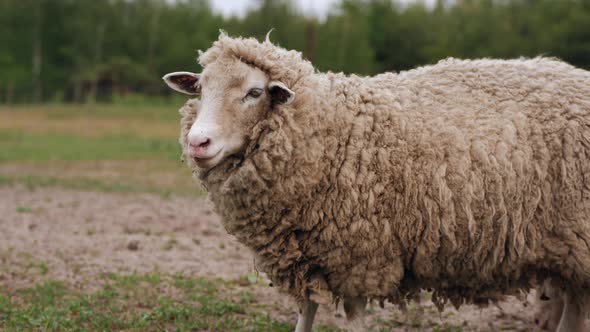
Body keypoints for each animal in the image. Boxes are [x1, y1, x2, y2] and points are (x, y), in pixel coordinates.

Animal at [164, 32, 590, 330]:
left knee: (574, 316)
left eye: (254, 92)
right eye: (200, 88)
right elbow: (306, 315)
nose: (197, 142)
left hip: (580, 245)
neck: (331, 130)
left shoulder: (361, 256)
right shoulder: (310, 252)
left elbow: (354, 320)